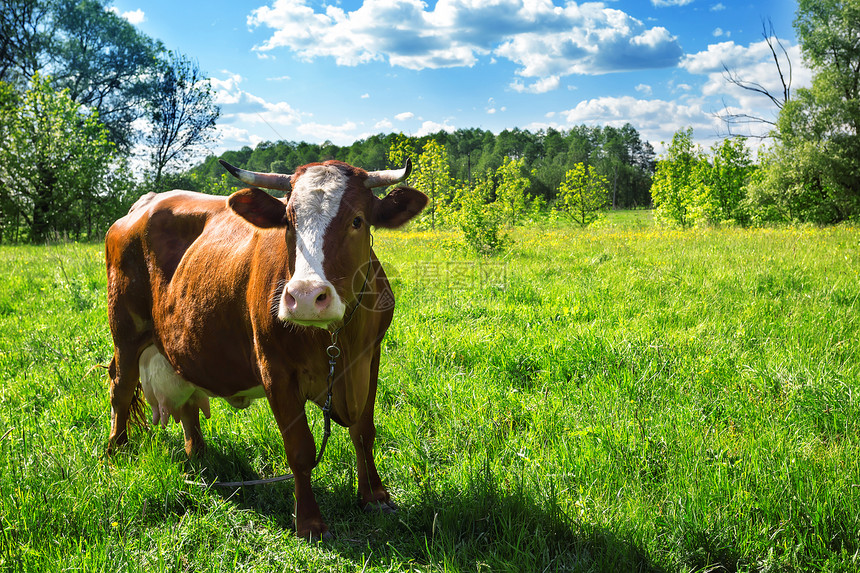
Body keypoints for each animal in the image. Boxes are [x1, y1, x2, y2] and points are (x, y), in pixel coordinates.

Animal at [106, 156, 428, 536]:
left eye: (357, 220)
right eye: (288, 222)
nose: (306, 297)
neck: (336, 341)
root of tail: (145, 204)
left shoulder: (369, 358)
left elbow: (363, 431)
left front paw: (375, 496)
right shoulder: (275, 370)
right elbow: (300, 448)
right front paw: (309, 521)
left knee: (186, 400)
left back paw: (198, 454)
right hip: (124, 330)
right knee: (120, 389)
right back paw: (116, 451)